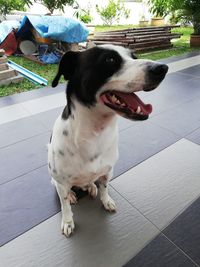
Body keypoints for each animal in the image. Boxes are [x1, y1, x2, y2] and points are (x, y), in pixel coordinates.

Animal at [48, 45, 169, 238]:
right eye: (109, 60)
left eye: (134, 56)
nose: (162, 68)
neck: (93, 133)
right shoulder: (61, 182)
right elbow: (64, 205)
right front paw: (67, 221)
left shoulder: (107, 171)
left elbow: (105, 187)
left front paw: (106, 200)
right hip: (54, 181)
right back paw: (74, 194)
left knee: (91, 183)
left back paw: (91, 186)